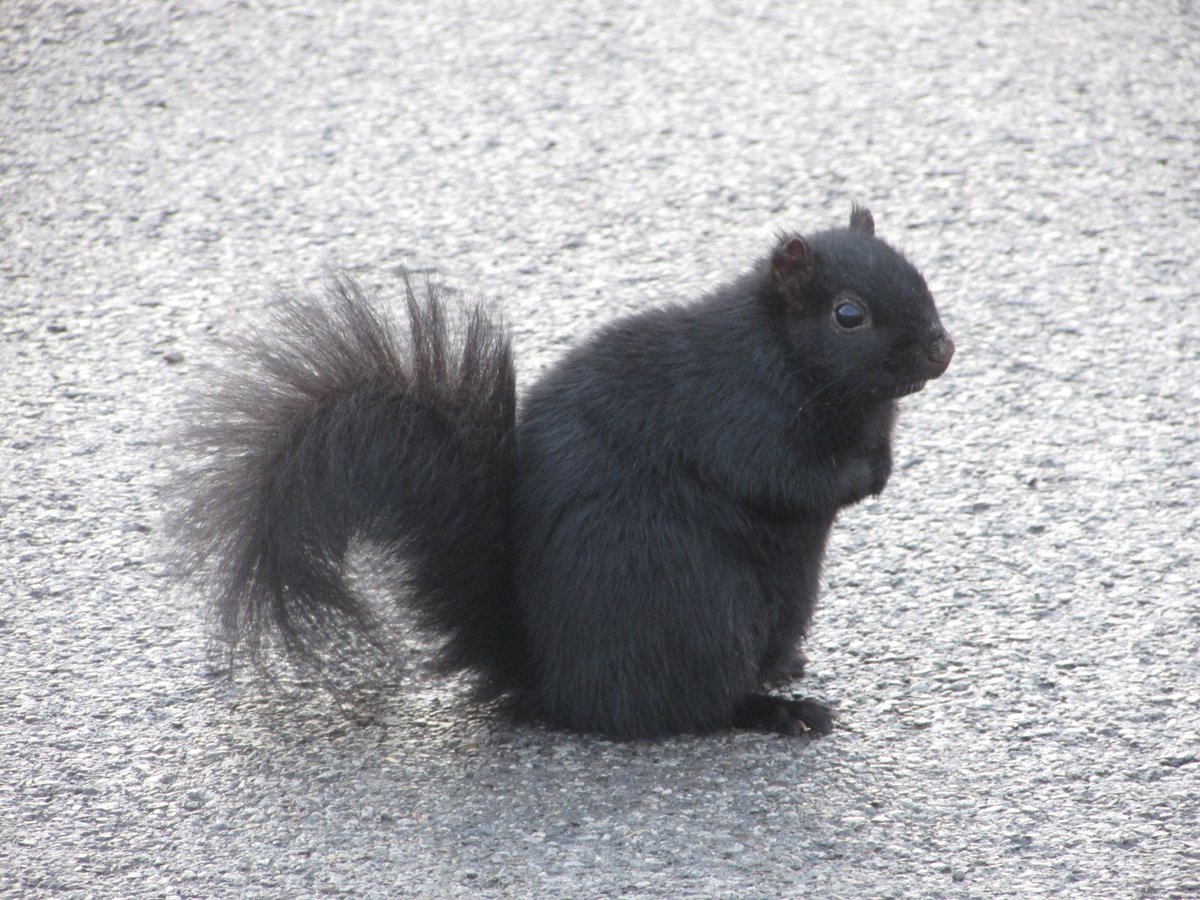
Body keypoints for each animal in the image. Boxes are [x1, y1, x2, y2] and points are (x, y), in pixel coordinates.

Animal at [173, 205, 954, 739]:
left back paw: (786, 674)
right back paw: (776, 713)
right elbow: (791, 481)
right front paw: (866, 475)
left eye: (920, 274)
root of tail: (552, 683)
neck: (787, 356)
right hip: (701, 607)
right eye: (848, 315)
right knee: (689, 709)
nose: (942, 350)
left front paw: (886, 461)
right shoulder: (740, 416)